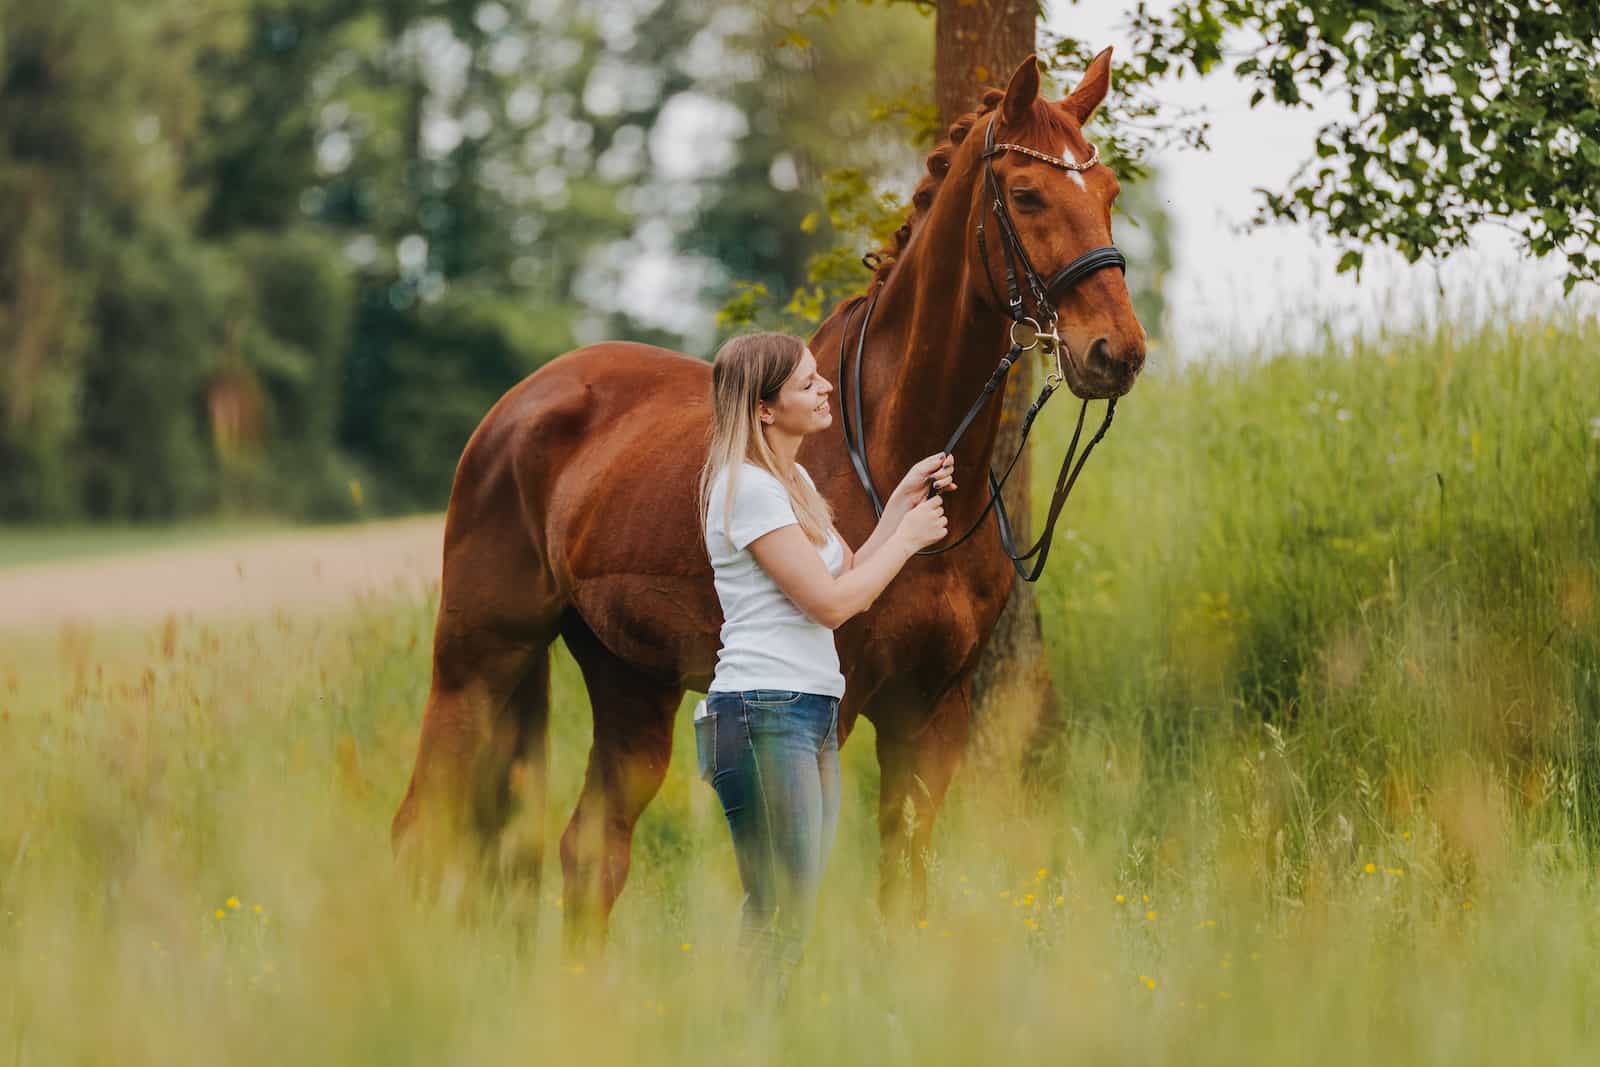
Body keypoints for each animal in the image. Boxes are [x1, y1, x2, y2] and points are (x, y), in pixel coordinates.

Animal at [391, 50, 1146, 945]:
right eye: (1027, 195)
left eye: (1108, 193)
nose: (1117, 352)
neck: (885, 454)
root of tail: (515, 409)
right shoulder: (835, 707)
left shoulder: (934, 713)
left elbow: (905, 886)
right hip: (476, 661)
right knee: (421, 829)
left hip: (628, 682)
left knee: (590, 853)